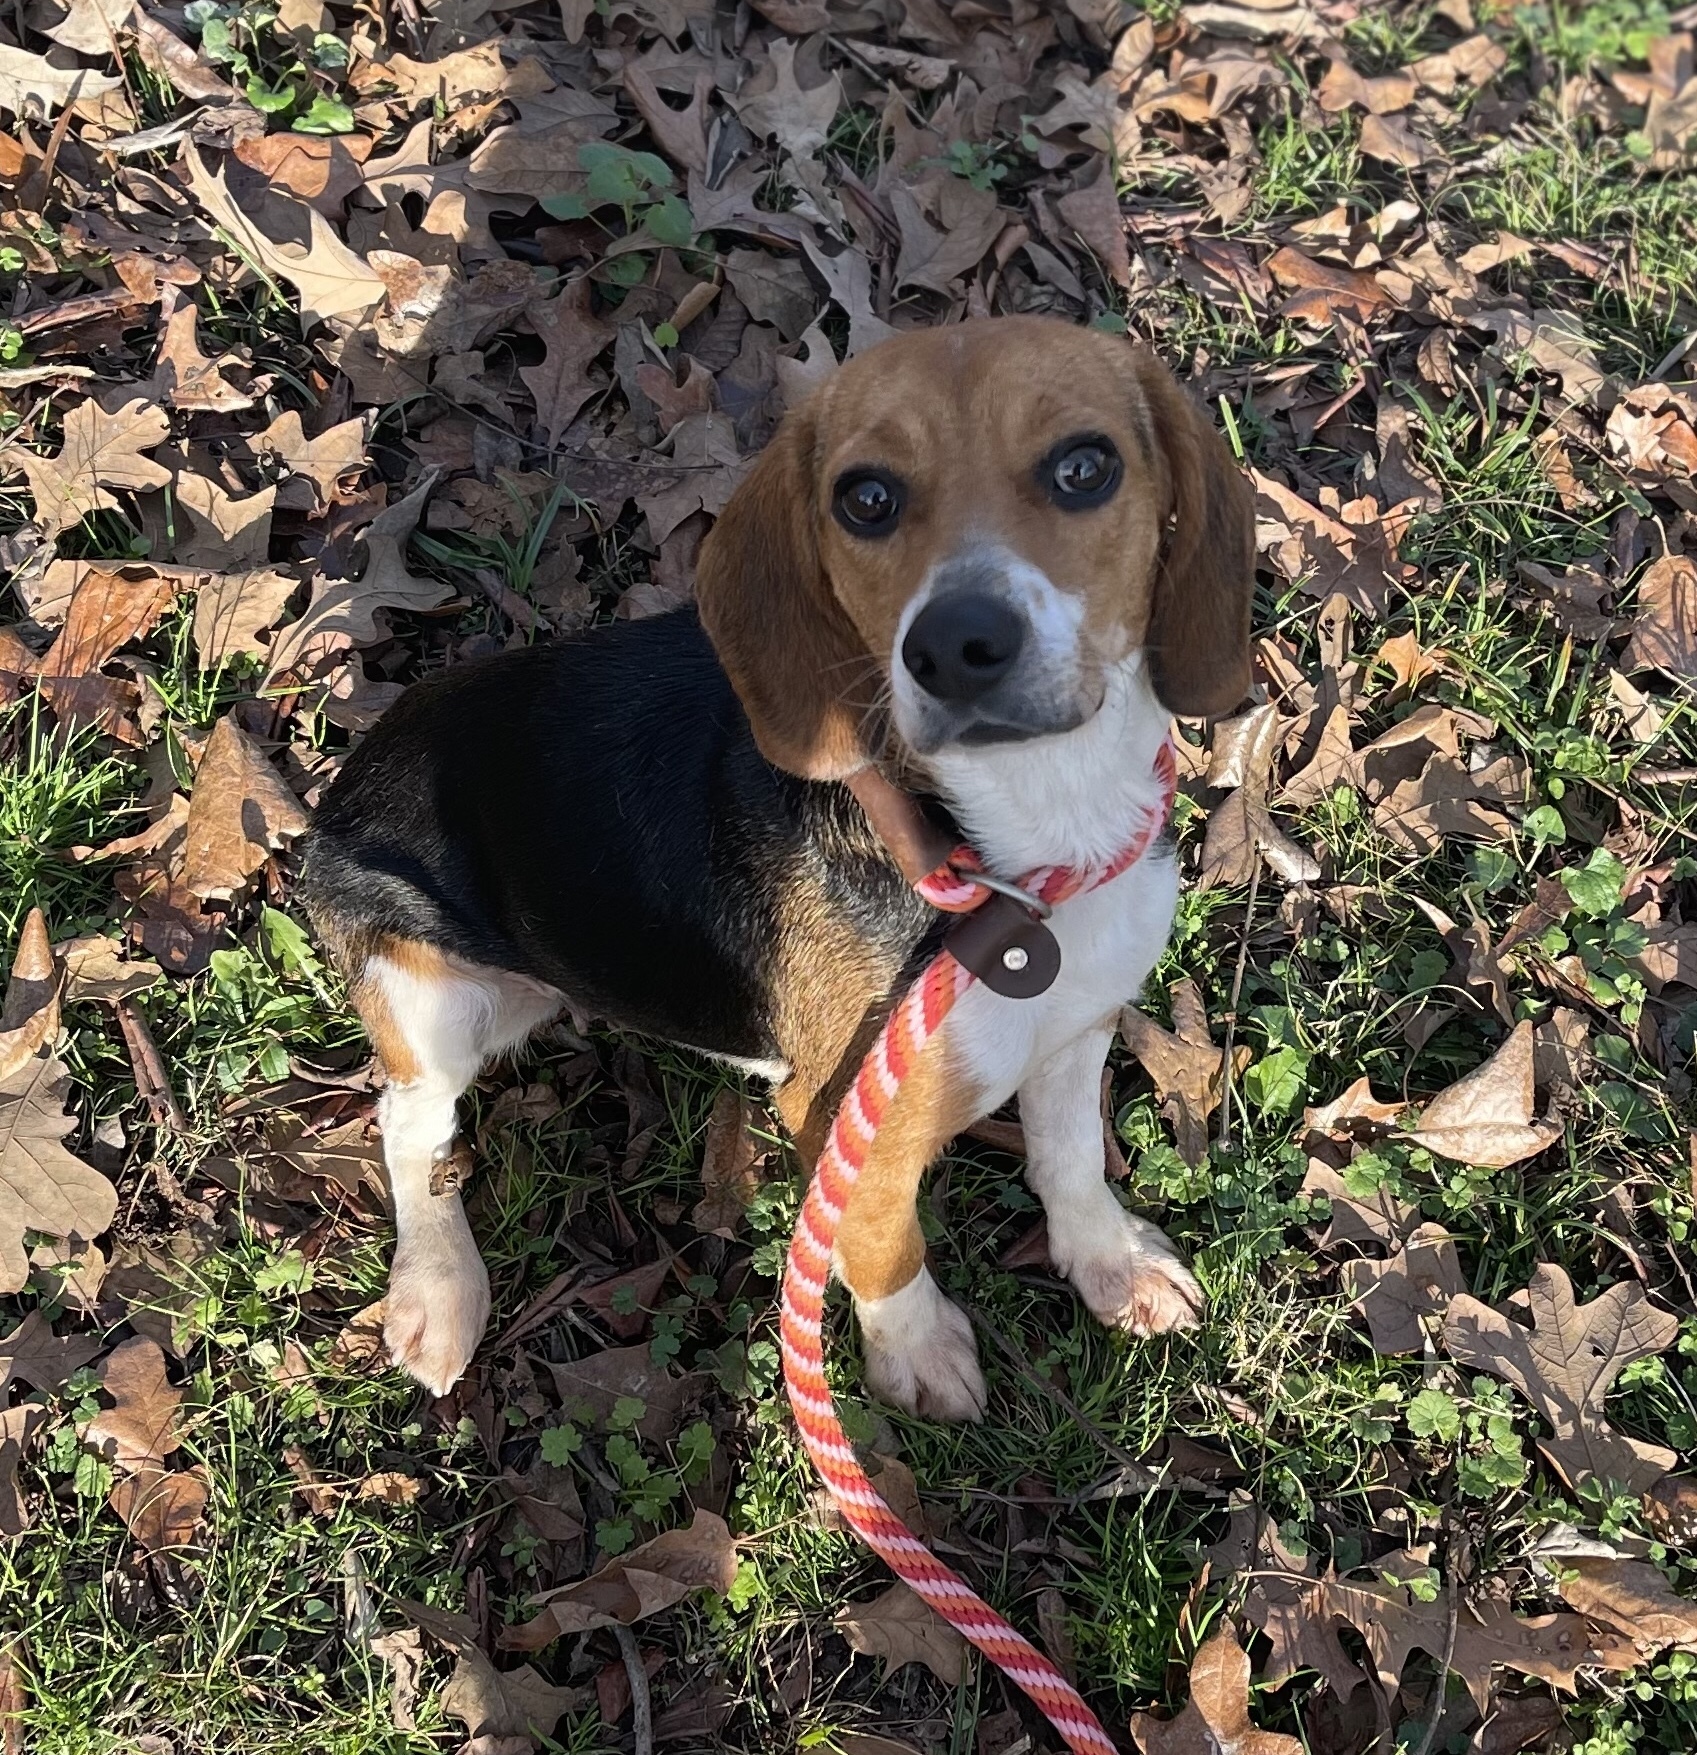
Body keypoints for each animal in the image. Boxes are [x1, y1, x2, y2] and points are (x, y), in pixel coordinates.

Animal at [301, 312, 1263, 1411]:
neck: (1012, 857)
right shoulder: (844, 1118)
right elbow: (879, 1243)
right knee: (410, 1120)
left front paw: (1109, 1259)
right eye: (865, 497)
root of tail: (342, 786)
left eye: (1084, 467)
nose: (954, 643)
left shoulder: (1077, 1027)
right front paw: (914, 1351)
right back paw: (436, 1288)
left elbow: (1068, 1159)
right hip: (435, 993)